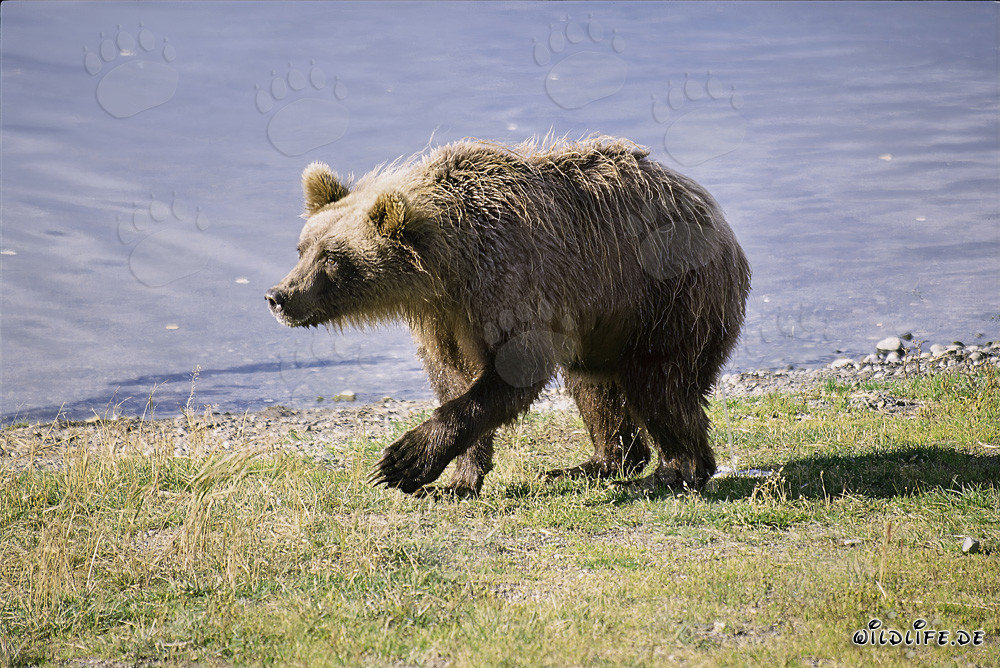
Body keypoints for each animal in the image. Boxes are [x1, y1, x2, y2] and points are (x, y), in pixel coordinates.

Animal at [266, 136, 751, 497]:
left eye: (331, 259)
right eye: (302, 247)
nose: (279, 296)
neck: (450, 268)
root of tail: (718, 218)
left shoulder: (509, 283)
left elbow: (515, 368)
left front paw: (403, 461)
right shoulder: (443, 318)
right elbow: (452, 376)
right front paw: (455, 480)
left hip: (668, 295)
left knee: (661, 385)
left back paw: (674, 473)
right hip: (603, 327)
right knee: (595, 387)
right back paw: (592, 464)